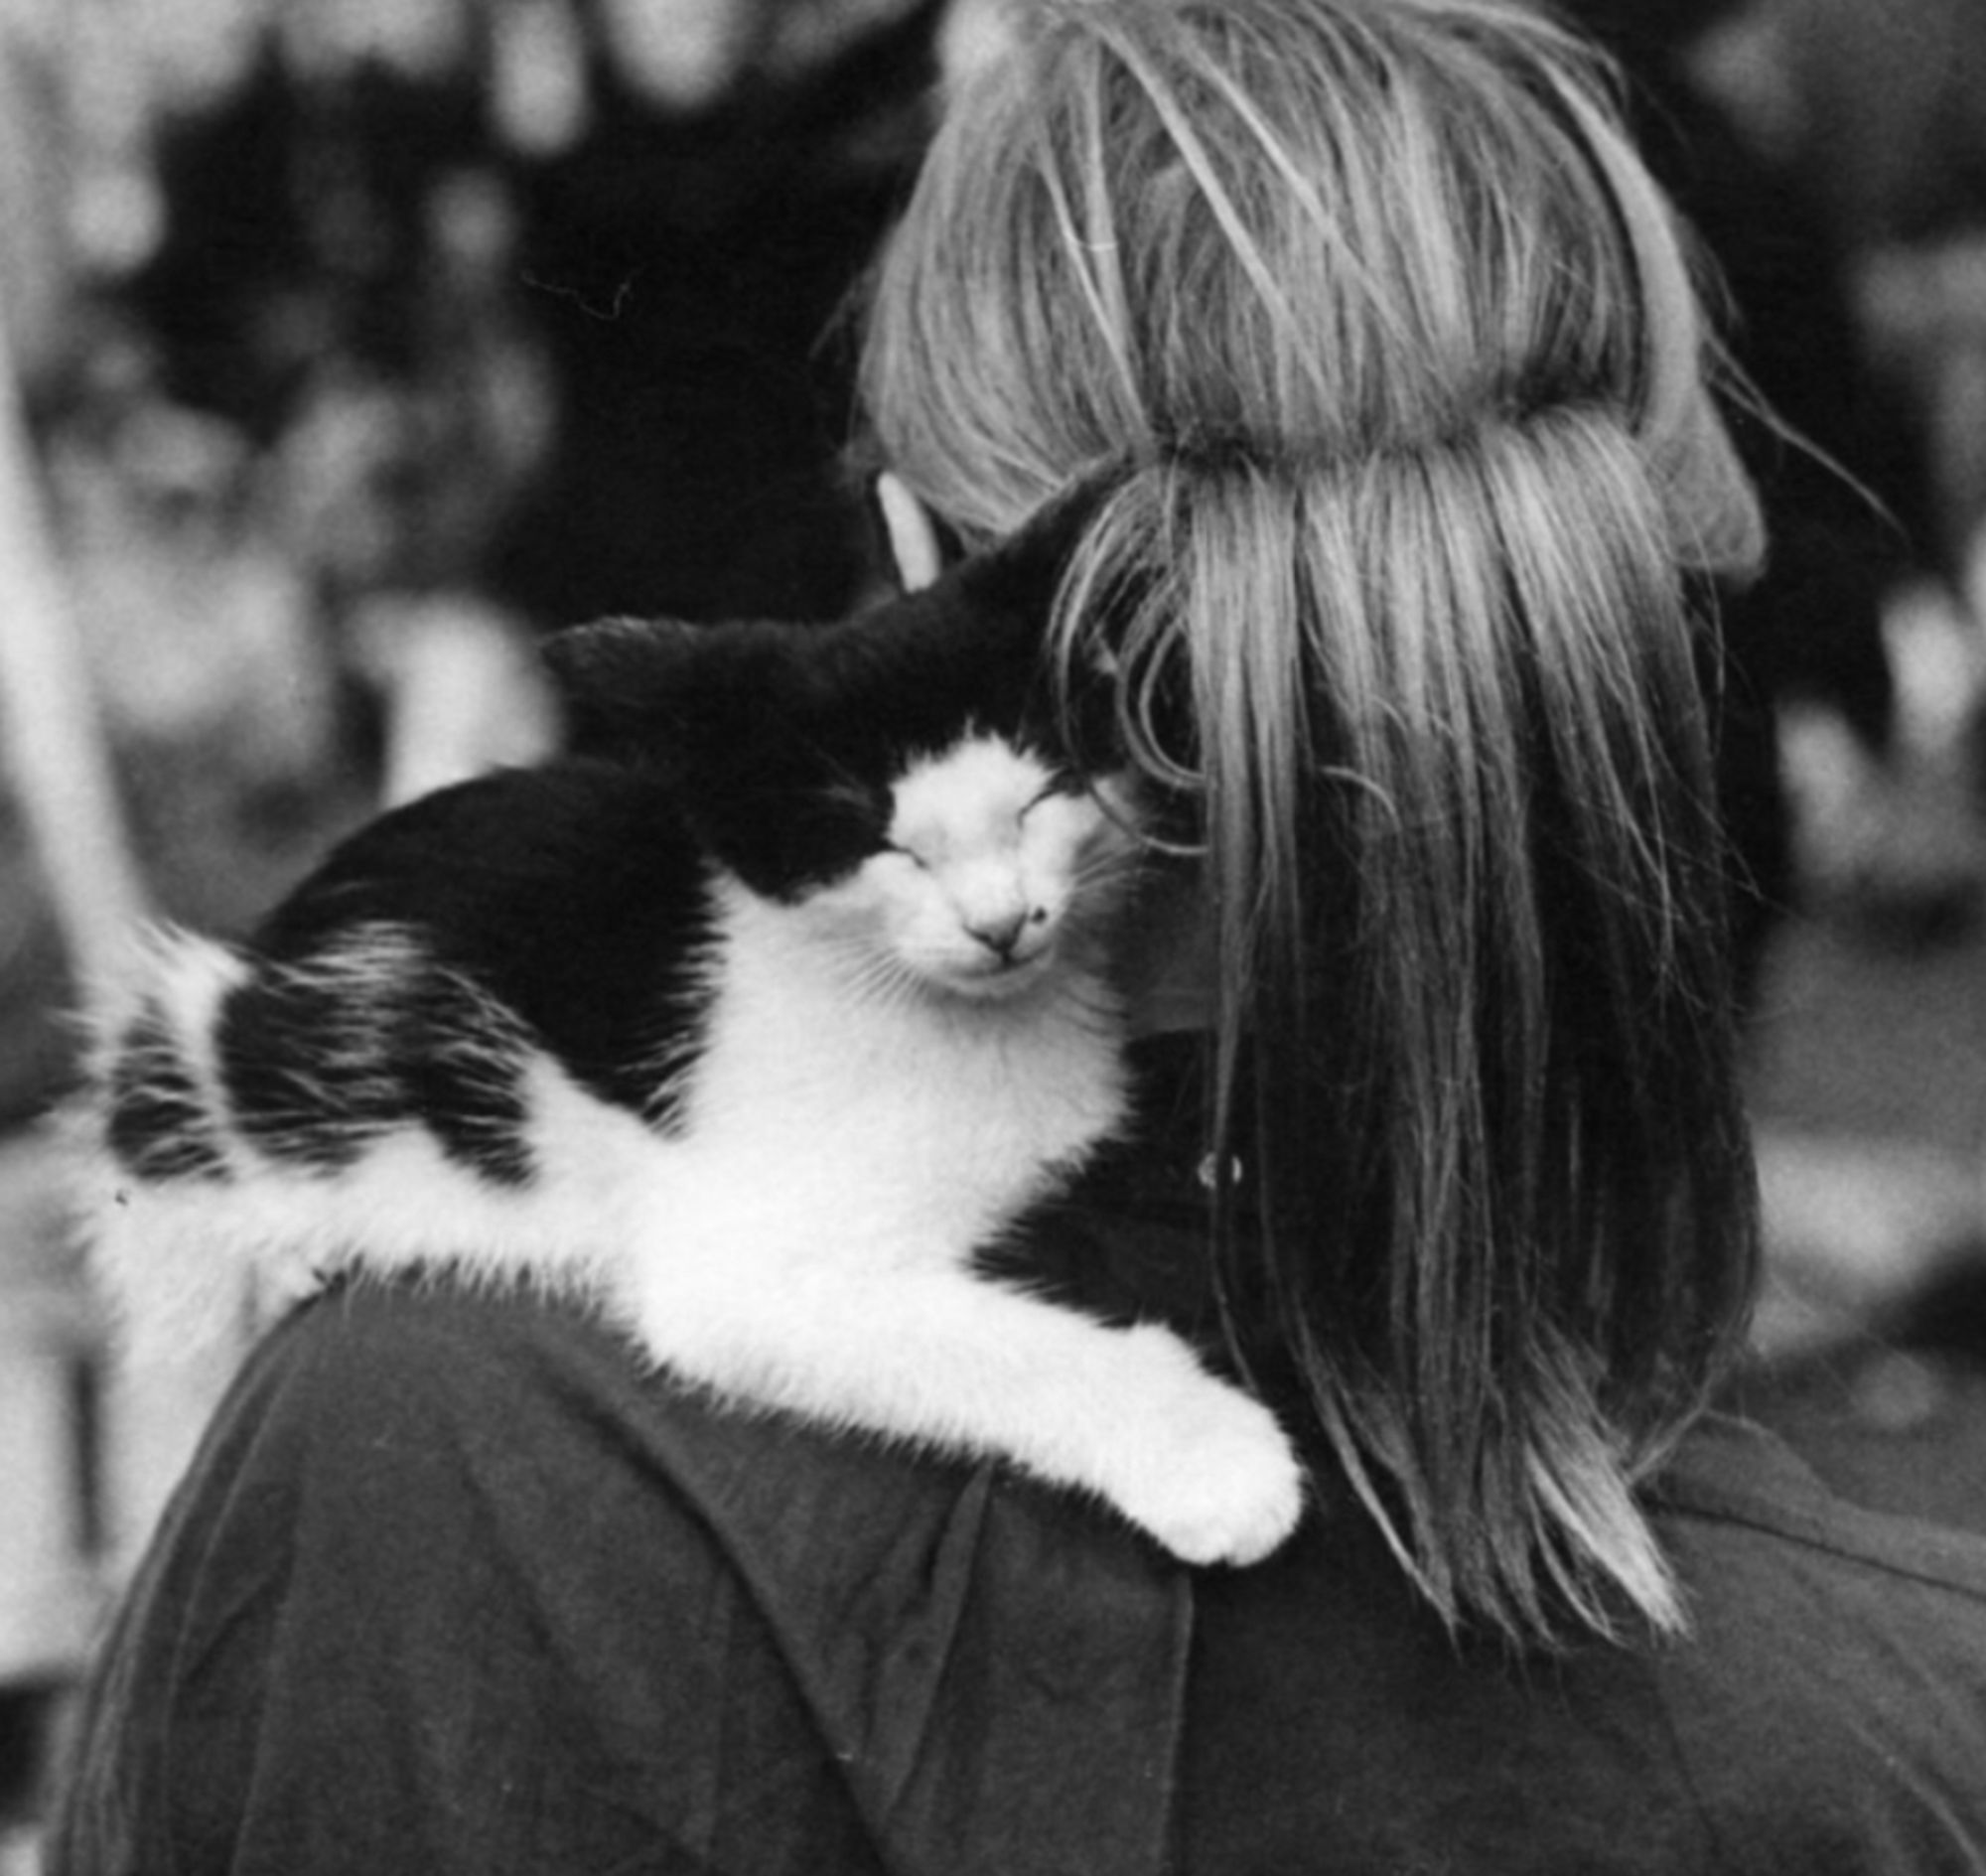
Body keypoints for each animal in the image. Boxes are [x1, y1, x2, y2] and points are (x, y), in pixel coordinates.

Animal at [70, 487, 1303, 1565]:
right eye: (879, 843)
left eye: (1042, 795)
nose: (1000, 923)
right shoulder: (743, 1265)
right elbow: (961, 1340)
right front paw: (1213, 1462)